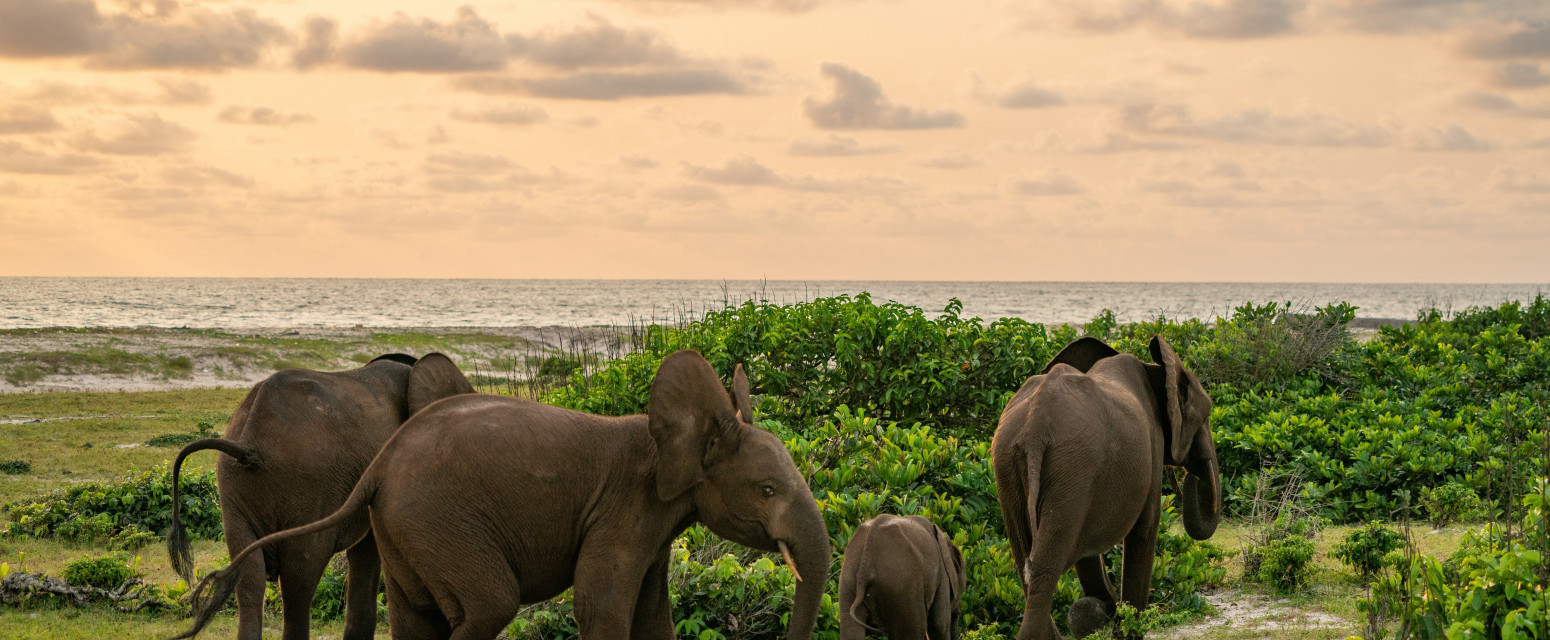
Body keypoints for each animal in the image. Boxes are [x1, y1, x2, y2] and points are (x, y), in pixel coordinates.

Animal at [992, 336, 1221, 635]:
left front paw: (1100, 612)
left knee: (1024, 563)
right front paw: (1126, 624)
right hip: (1072, 468)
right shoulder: (1151, 446)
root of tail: (1034, 428)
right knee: (1044, 568)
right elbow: (1144, 531)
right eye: (1206, 416)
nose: (1190, 477)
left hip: (1008, 465)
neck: (1155, 369)